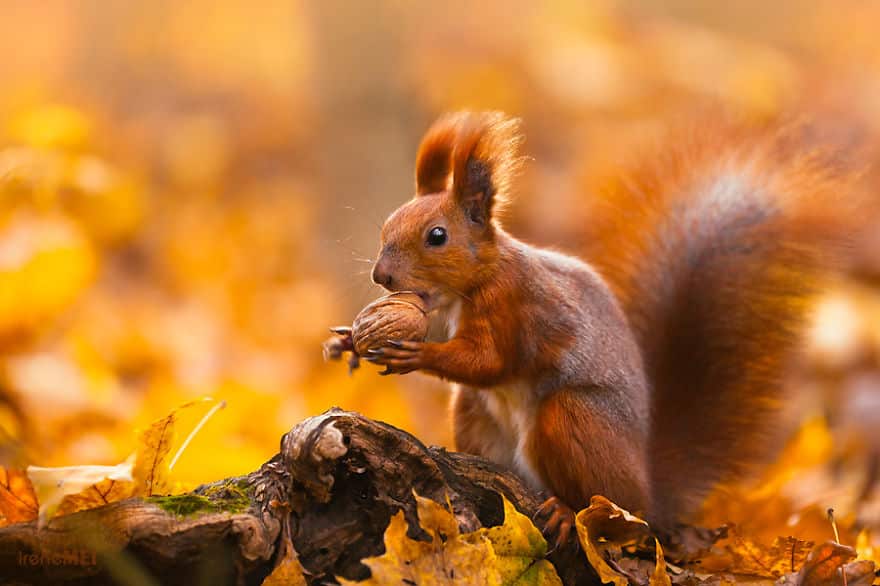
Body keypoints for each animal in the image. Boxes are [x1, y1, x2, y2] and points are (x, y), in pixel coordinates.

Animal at [358, 110, 860, 544]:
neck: (473, 283)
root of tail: (651, 493)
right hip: (474, 414)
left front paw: (415, 354)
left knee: (608, 507)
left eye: (437, 236)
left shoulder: (514, 306)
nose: (382, 277)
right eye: (387, 225)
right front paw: (356, 336)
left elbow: (490, 361)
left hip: (574, 420)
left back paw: (569, 511)